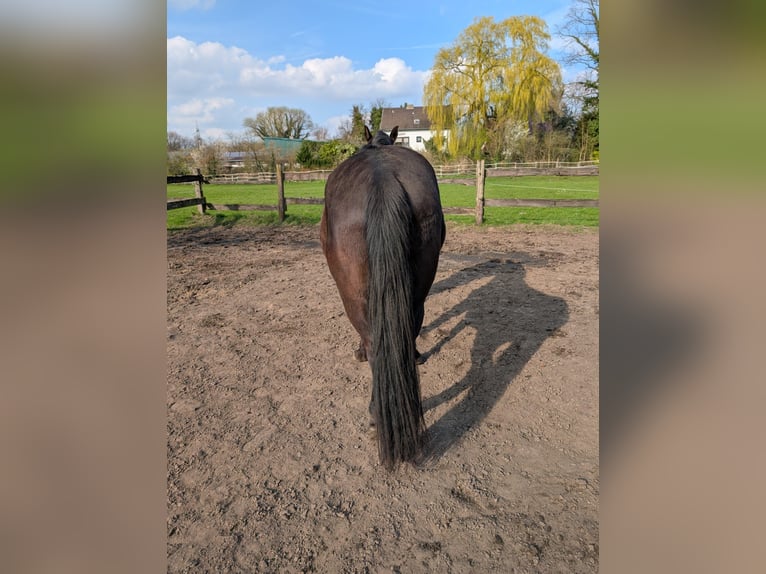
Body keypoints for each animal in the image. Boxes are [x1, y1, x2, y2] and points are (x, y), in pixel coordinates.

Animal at [320, 125, 446, 469]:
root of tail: (383, 178)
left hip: (352, 296)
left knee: (374, 344)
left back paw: (376, 412)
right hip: (419, 287)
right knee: (410, 325)